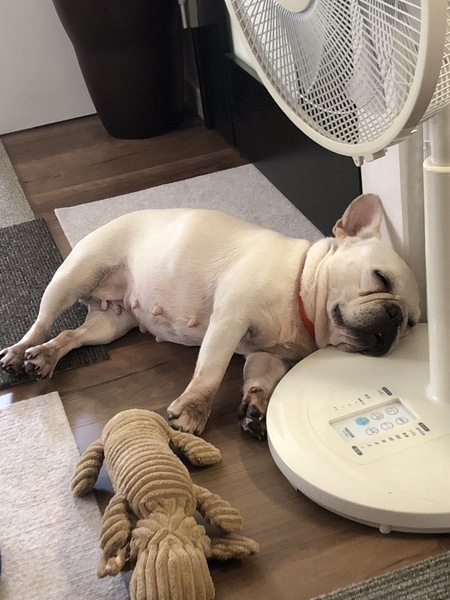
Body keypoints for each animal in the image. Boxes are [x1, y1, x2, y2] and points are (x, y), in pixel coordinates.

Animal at [1, 193, 420, 440]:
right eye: (380, 278)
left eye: (412, 323)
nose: (394, 317)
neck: (300, 292)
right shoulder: (230, 319)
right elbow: (211, 371)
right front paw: (193, 411)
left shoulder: (267, 356)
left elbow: (260, 381)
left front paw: (257, 409)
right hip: (75, 276)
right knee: (41, 323)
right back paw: (21, 352)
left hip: (110, 324)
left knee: (70, 336)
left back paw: (45, 357)